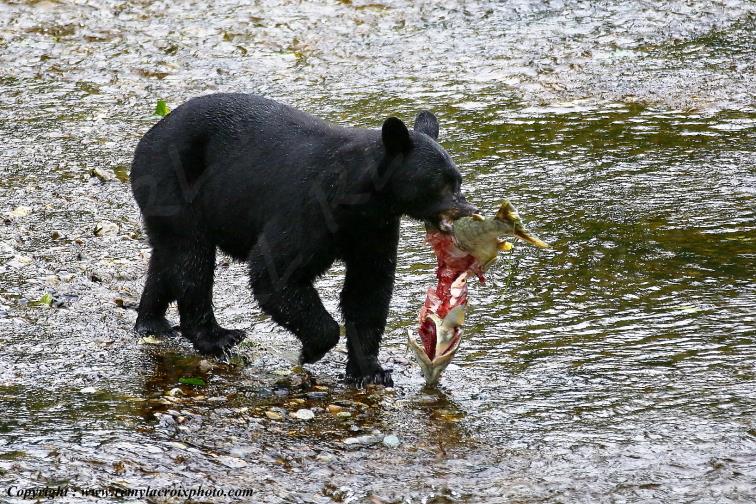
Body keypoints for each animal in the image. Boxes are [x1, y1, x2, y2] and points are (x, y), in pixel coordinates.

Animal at [130, 93, 476, 386]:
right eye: (440, 184)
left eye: (458, 180)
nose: (468, 210)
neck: (358, 196)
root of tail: (148, 137)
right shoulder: (309, 208)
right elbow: (275, 271)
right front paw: (312, 349)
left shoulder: (373, 228)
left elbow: (368, 288)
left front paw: (370, 371)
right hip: (174, 184)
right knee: (193, 259)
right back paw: (215, 336)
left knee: (168, 257)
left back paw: (152, 322)